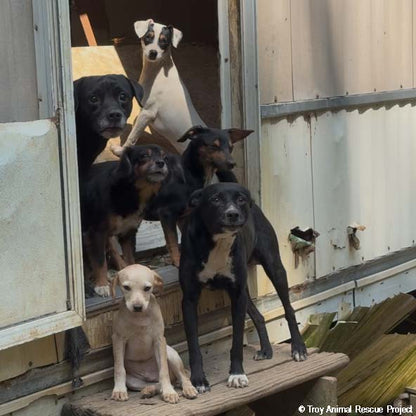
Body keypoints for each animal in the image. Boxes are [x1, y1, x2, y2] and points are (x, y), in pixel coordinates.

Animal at [80, 145, 168, 297]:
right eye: (144, 155)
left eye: (163, 156)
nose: (161, 163)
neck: (129, 191)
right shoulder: (97, 232)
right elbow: (100, 261)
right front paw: (101, 285)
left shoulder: (129, 233)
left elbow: (130, 258)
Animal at [110, 19, 205, 157]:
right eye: (148, 37)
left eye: (164, 41)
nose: (153, 53)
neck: (157, 71)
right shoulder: (143, 112)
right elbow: (135, 124)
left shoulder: (147, 112)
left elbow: (132, 137)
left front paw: (121, 151)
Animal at [111, 264, 198, 403]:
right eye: (126, 287)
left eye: (147, 288)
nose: (137, 307)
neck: (140, 317)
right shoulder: (118, 339)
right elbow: (119, 368)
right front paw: (119, 390)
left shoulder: (159, 340)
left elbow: (163, 370)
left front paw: (169, 392)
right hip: (132, 381)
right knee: (158, 383)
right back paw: (149, 390)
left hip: (171, 354)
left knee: (182, 377)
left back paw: (187, 389)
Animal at [143, 126, 253, 267]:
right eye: (214, 146)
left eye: (231, 147)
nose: (232, 163)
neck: (188, 174)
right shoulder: (166, 213)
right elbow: (172, 240)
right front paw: (177, 261)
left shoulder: (184, 216)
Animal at [179, 183, 307, 392]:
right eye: (215, 199)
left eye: (241, 199)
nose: (233, 214)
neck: (218, 241)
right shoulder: (190, 299)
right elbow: (193, 345)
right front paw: (198, 380)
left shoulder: (237, 295)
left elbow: (238, 340)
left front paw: (237, 374)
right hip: (245, 291)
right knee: (259, 316)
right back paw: (266, 349)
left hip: (275, 268)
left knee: (289, 309)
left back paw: (298, 348)